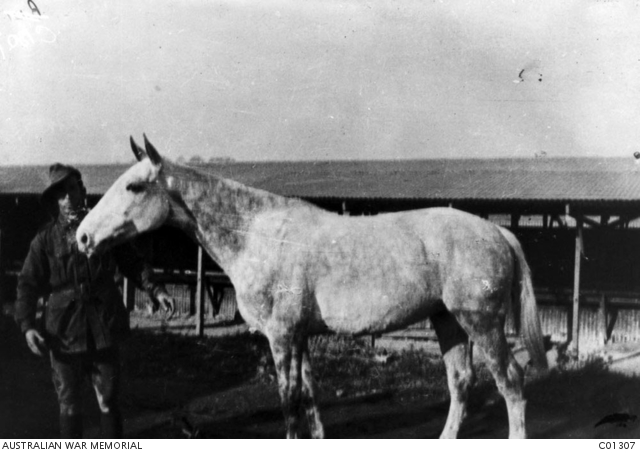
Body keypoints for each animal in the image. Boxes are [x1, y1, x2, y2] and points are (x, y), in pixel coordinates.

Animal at [76, 135, 548, 439]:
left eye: (134, 186)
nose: (82, 237)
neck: (259, 234)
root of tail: (496, 231)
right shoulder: (300, 336)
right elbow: (309, 396)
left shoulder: (282, 336)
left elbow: (288, 402)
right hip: (448, 320)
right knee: (461, 382)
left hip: (480, 323)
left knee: (510, 381)